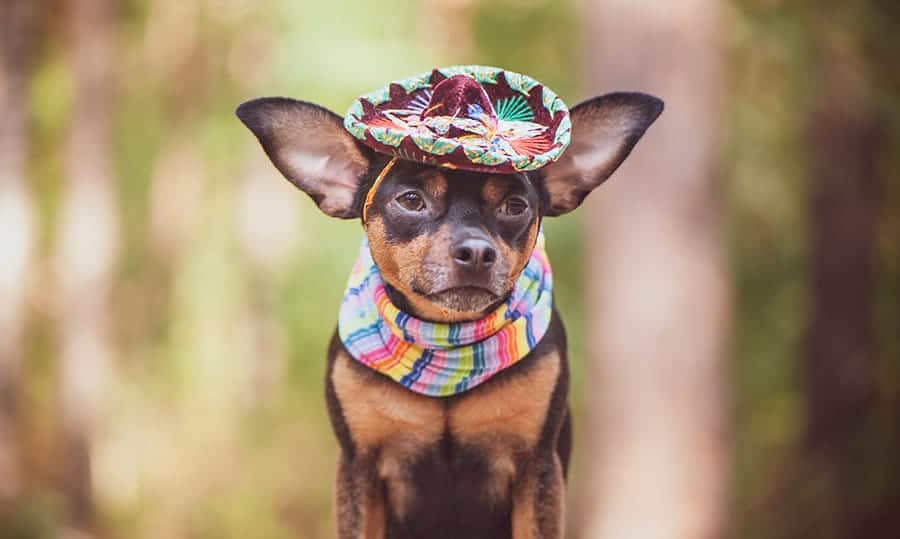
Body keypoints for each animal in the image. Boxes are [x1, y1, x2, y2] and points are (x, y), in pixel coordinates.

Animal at [237, 67, 660, 539]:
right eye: (411, 200)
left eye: (515, 205)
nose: (476, 251)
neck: (446, 340)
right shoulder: (358, 468)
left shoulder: (538, 469)